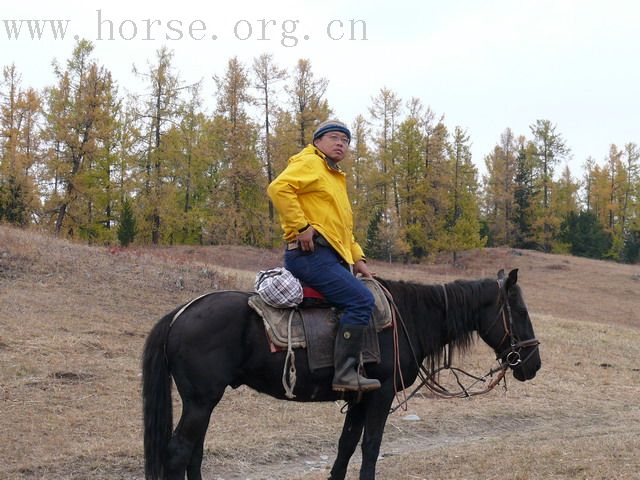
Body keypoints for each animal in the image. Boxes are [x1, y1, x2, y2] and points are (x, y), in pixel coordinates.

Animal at [144, 268, 540, 478]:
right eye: (519, 310)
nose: (533, 364)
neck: (408, 318)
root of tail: (180, 313)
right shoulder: (381, 395)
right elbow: (371, 446)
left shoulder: (360, 396)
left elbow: (346, 444)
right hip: (201, 401)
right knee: (179, 451)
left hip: (203, 401)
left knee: (194, 451)